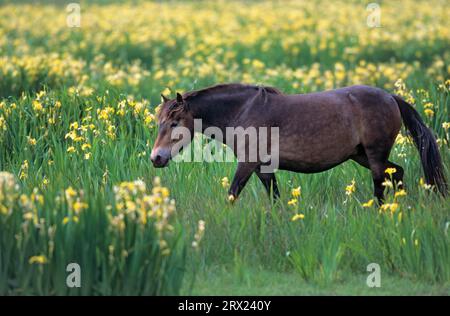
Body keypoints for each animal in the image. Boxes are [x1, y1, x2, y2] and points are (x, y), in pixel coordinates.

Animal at [151, 83, 446, 202]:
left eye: (174, 123)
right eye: (159, 122)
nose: (156, 158)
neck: (244, 110)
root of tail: (389, 97)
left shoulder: (247, 164)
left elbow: (232, 194)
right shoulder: (263, 168)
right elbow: (275, 199)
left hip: (374, 157)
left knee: (381, 186)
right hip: (361, 155)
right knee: (397, 173)